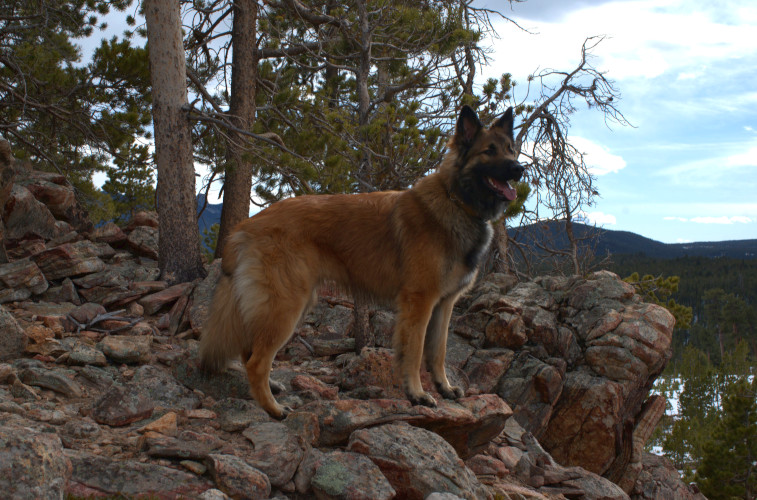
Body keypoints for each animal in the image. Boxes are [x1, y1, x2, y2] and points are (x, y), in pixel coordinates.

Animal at [198, 104, 524, 418]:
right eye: (489, 151)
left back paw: (271, 389)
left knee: (249, 350)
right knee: (256, 361)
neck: (456, 200)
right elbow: (415, 352)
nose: (520, 169)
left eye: (511, 149)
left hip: (291, 303)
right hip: (286, 305)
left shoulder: (444, 304)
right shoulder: (419, 303)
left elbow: (439, 351)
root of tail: (245, 226)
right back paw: (274, 410)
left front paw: (444, 387)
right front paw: (417, 394)